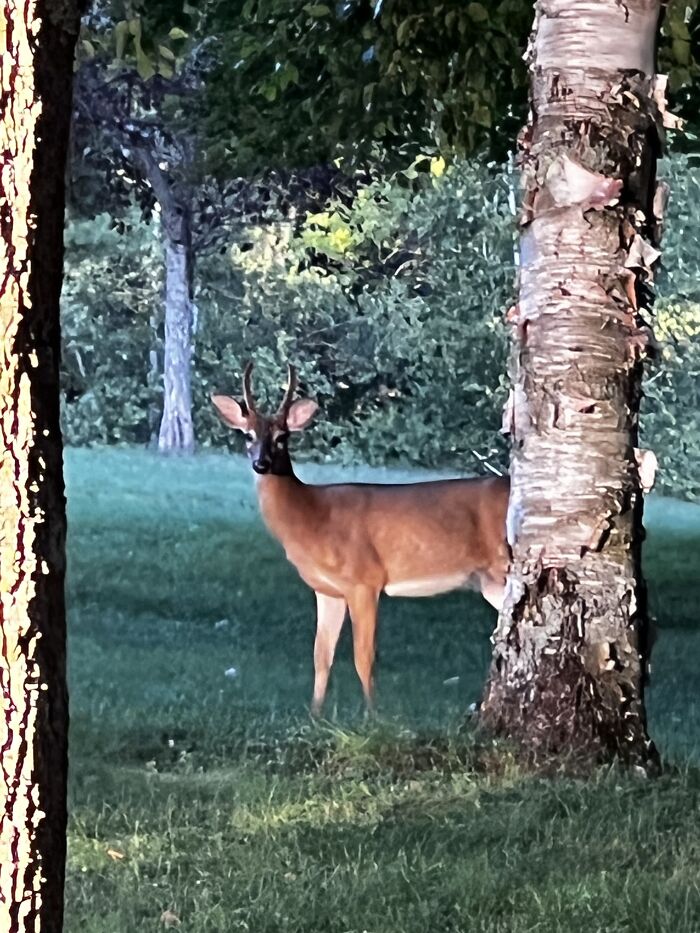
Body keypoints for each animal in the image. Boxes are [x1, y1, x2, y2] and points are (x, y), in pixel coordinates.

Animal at [212, 363, 510, 715]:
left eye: (281, 438)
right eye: (248, 435)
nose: (261, 463)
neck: (311, 518)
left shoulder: (364, 580)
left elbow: (363, 657)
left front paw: (372, 714)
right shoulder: (327, 591)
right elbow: (320, 656)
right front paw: (314, 714)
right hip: (488, 582)